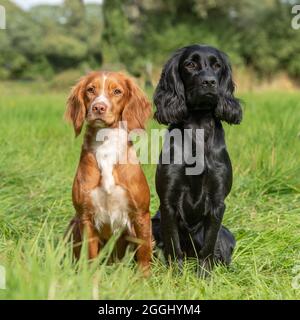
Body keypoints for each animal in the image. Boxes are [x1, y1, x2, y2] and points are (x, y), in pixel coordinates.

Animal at [65, 70, 152, 276]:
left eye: (117, 91)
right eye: (90, 90)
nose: (98, 107)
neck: (106, 146)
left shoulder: (141, 214)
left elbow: (144, 251)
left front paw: (144, 278)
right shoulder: (85, 216)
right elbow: (90, 254)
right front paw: (89, 277)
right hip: (72, 224)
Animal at [151, 43, 243, 272]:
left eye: (217, 65)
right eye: (190, 64)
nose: (209, 82)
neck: (198, 128)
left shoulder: (217, 202)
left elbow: (208, 247)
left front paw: (204, 276)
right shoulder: (168, 201)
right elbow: (173, 246)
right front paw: (176, 274)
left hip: (225, 234)